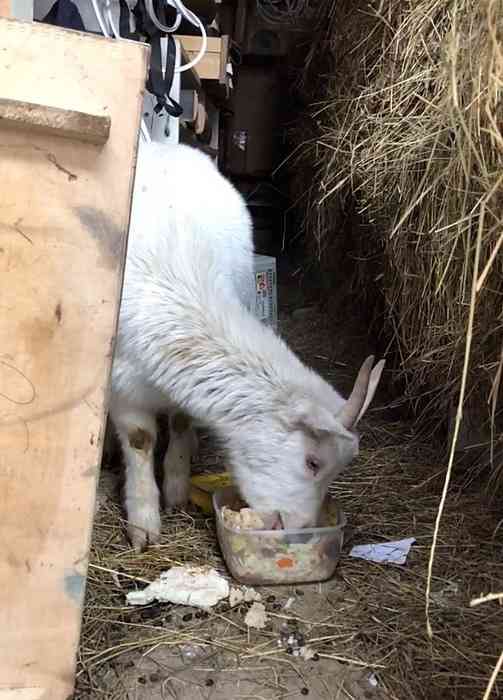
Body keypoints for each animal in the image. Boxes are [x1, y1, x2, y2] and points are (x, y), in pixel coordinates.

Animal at [111, 139, 386, 548]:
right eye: (313, 462)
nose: (296, 531)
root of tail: (162, 143)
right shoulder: (122, 385)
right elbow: (140, 440)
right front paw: (144, 523)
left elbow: (180, 423)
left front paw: (176, 487)